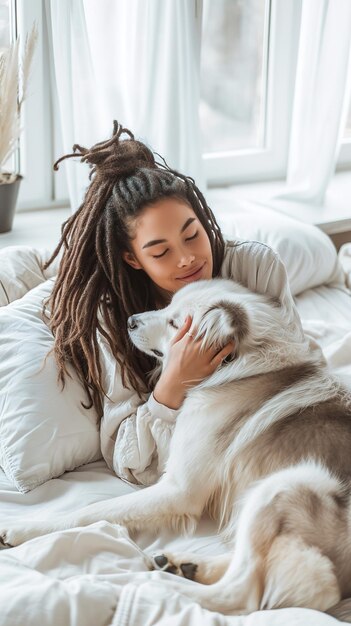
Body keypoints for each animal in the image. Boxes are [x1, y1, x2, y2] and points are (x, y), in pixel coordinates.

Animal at [2, 280, 351, 616]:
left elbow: (92, 511)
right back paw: (181, 565)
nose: (130, 320)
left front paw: (26, 528)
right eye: (167, 305)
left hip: (289, 482)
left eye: (173, 322)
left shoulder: (179, 490)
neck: (245, 368)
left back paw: (149, 585)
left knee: (241, 594)